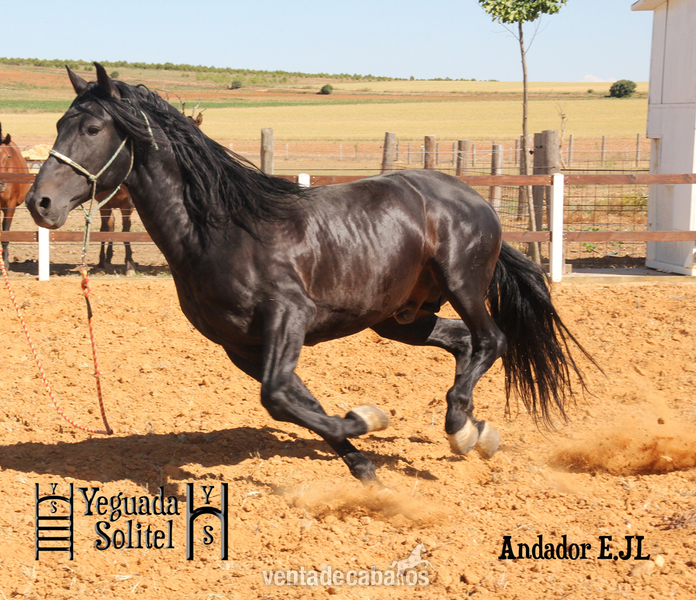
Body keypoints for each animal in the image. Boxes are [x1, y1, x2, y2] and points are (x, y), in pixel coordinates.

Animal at [25, 64, 595, 485]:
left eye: (92, 128)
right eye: (58, 126)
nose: (39, 203)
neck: (221, 229)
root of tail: (471, 197)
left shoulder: (289, 315)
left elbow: (279, 397)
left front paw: (367, 420)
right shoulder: (241, 345)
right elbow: (293, 400)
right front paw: (362, 463)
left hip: (463, 283)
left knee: (491, 339)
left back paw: (460, 427)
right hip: (401, 317)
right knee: (462, 343)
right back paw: (475, 431)